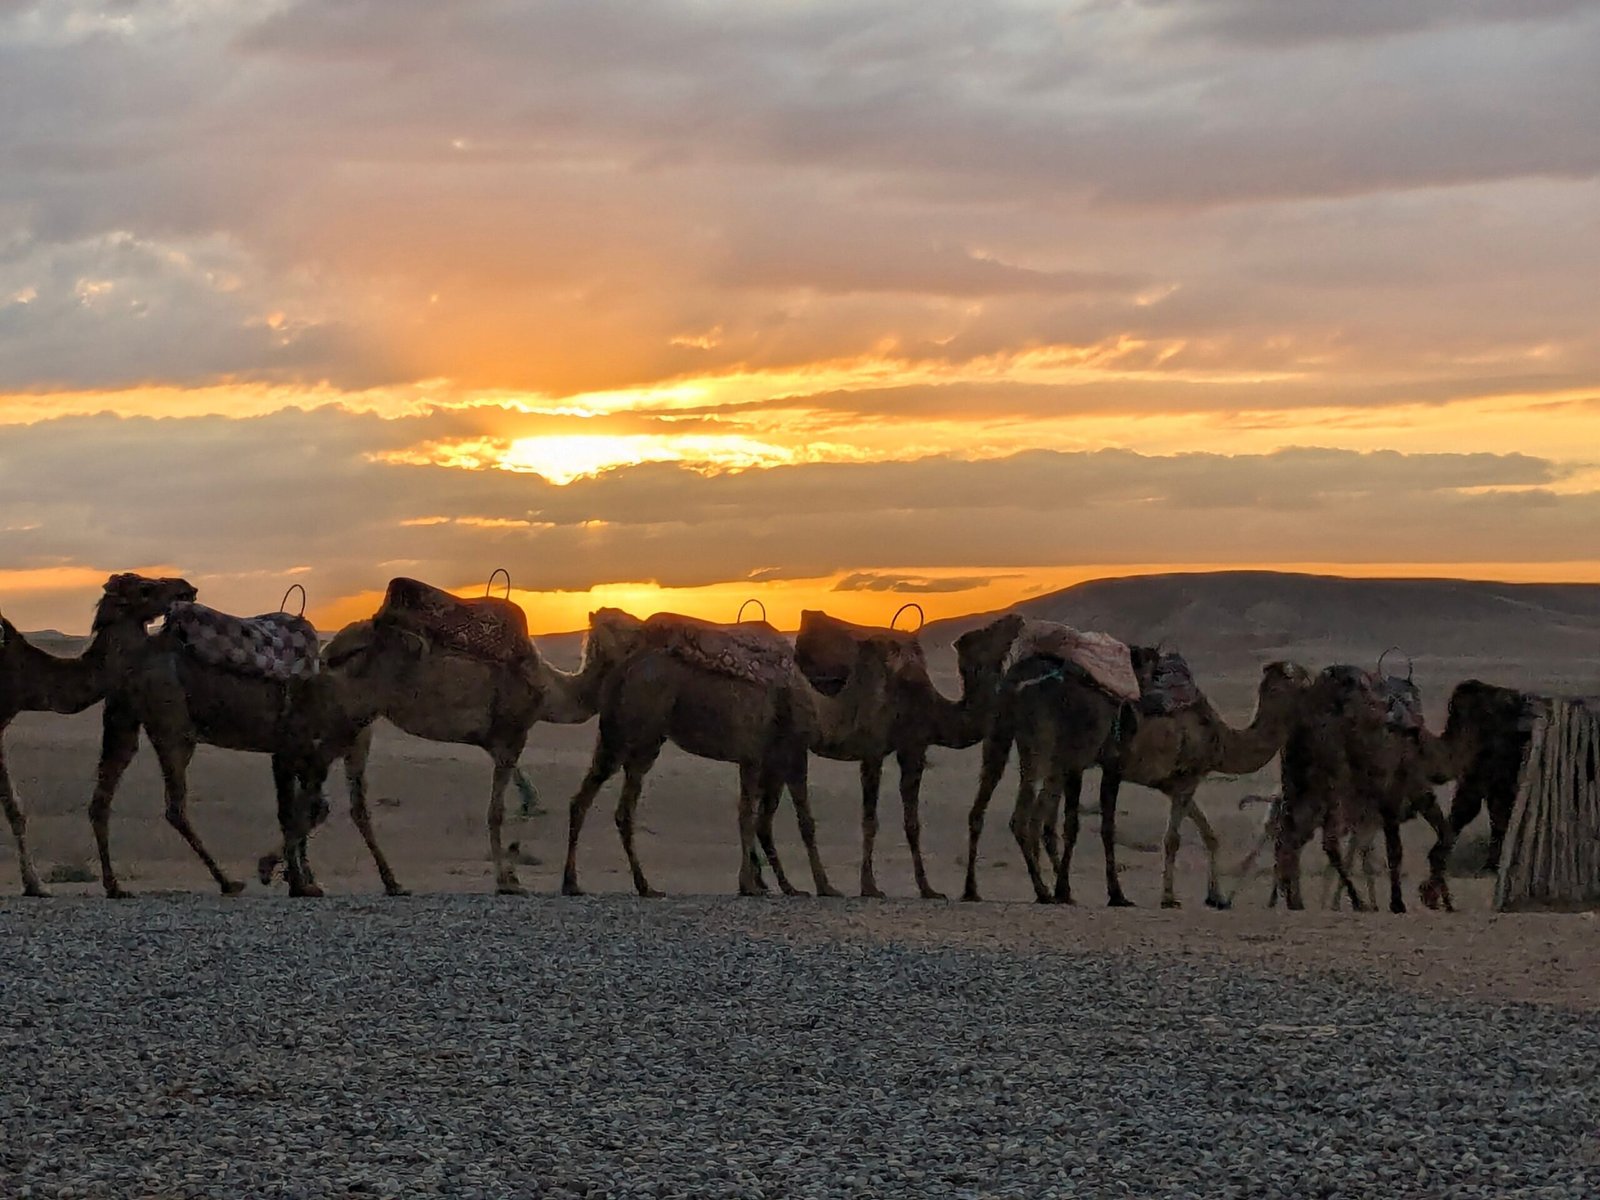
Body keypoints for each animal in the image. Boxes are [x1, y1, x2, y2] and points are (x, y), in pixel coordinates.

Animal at [0, 574, 196, 896]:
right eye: (145, 589)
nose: (187, 588)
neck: (25, 677)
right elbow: (12, 805)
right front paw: (36, 884)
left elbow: (14, 807)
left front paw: (34, 884)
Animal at [269, 606, 646, 896]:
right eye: (622, 622)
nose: (647, 629)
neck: (550, 690)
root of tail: (327, 653)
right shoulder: (511, 738)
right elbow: (496, 812)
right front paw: (506, 882)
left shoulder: (498, 744)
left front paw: (509, 877)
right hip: (348, 715)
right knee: (311, 777)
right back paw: (292, 875)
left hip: (356, 723)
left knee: (323, 786)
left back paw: (352, 880)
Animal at [561, 631, 895, 899]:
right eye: (891, 648)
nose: (898, 648)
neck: (823, 710)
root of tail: (621, 672)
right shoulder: (791, 751)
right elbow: (801, 822)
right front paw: (823, 887)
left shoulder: (756, 759)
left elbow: (750, 816)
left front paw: (768, 885)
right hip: (633, 731)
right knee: (606, 803)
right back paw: (624, 885)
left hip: (631, 740)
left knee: (600, 802)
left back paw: (595, 884)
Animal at [793, 611, 1023, 899]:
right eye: (987, 631)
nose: (1016, 618)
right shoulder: (878, 749)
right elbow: (871, 821)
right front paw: (870, 887)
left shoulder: (912, 748)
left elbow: (912, 823)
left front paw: (928, 888)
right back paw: (821, 887)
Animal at [1084, 660, 1314, 909]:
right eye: (1303, 680)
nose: (1316, 684)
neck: (1220, 741)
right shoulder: (1187, 780)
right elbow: (1172, 839)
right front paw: (1168, 897)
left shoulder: (1175, 784)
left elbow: (1209, 835)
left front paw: (1216, 896)